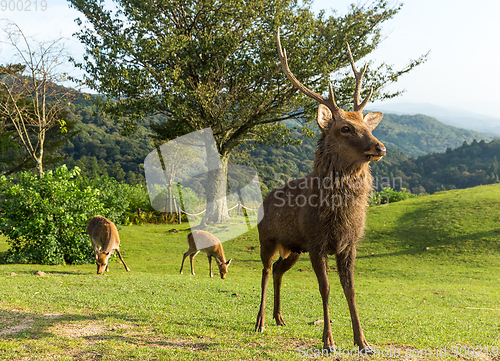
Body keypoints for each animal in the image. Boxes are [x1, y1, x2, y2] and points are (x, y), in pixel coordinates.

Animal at [254, 31, 386, 352]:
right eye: (345, 128)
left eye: (367, 125)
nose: (380, 147)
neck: (338, 216)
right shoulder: (316, 242)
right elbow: (325, 288)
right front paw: (328, 341)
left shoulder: (349, 244)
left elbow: (351, 290)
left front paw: (363, 342)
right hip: (268, 238)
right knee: (265, 271)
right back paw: (260, 322)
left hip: (293, 248)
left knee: (279, 270)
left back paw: (279, 317)